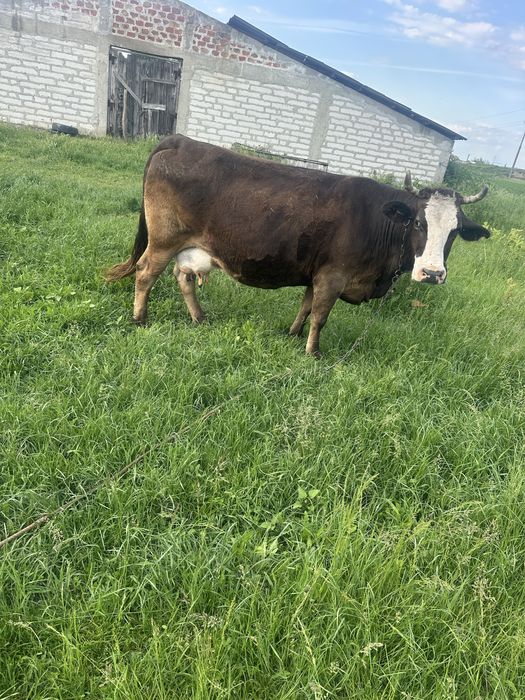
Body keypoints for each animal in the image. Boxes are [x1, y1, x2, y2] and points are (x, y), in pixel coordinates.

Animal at [106, 135, 490, 356]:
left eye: (455, 231)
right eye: (418, 223)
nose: (432, 273)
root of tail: (179, 140)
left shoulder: (317, 273)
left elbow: (306, 307)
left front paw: (292, 335)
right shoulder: (333, 275)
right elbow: (320, 315)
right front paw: (313, 352)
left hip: (189, 247)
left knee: (183, 279)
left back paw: (200, 318)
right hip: (164, 240)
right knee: (145, 273)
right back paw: (140, 319)